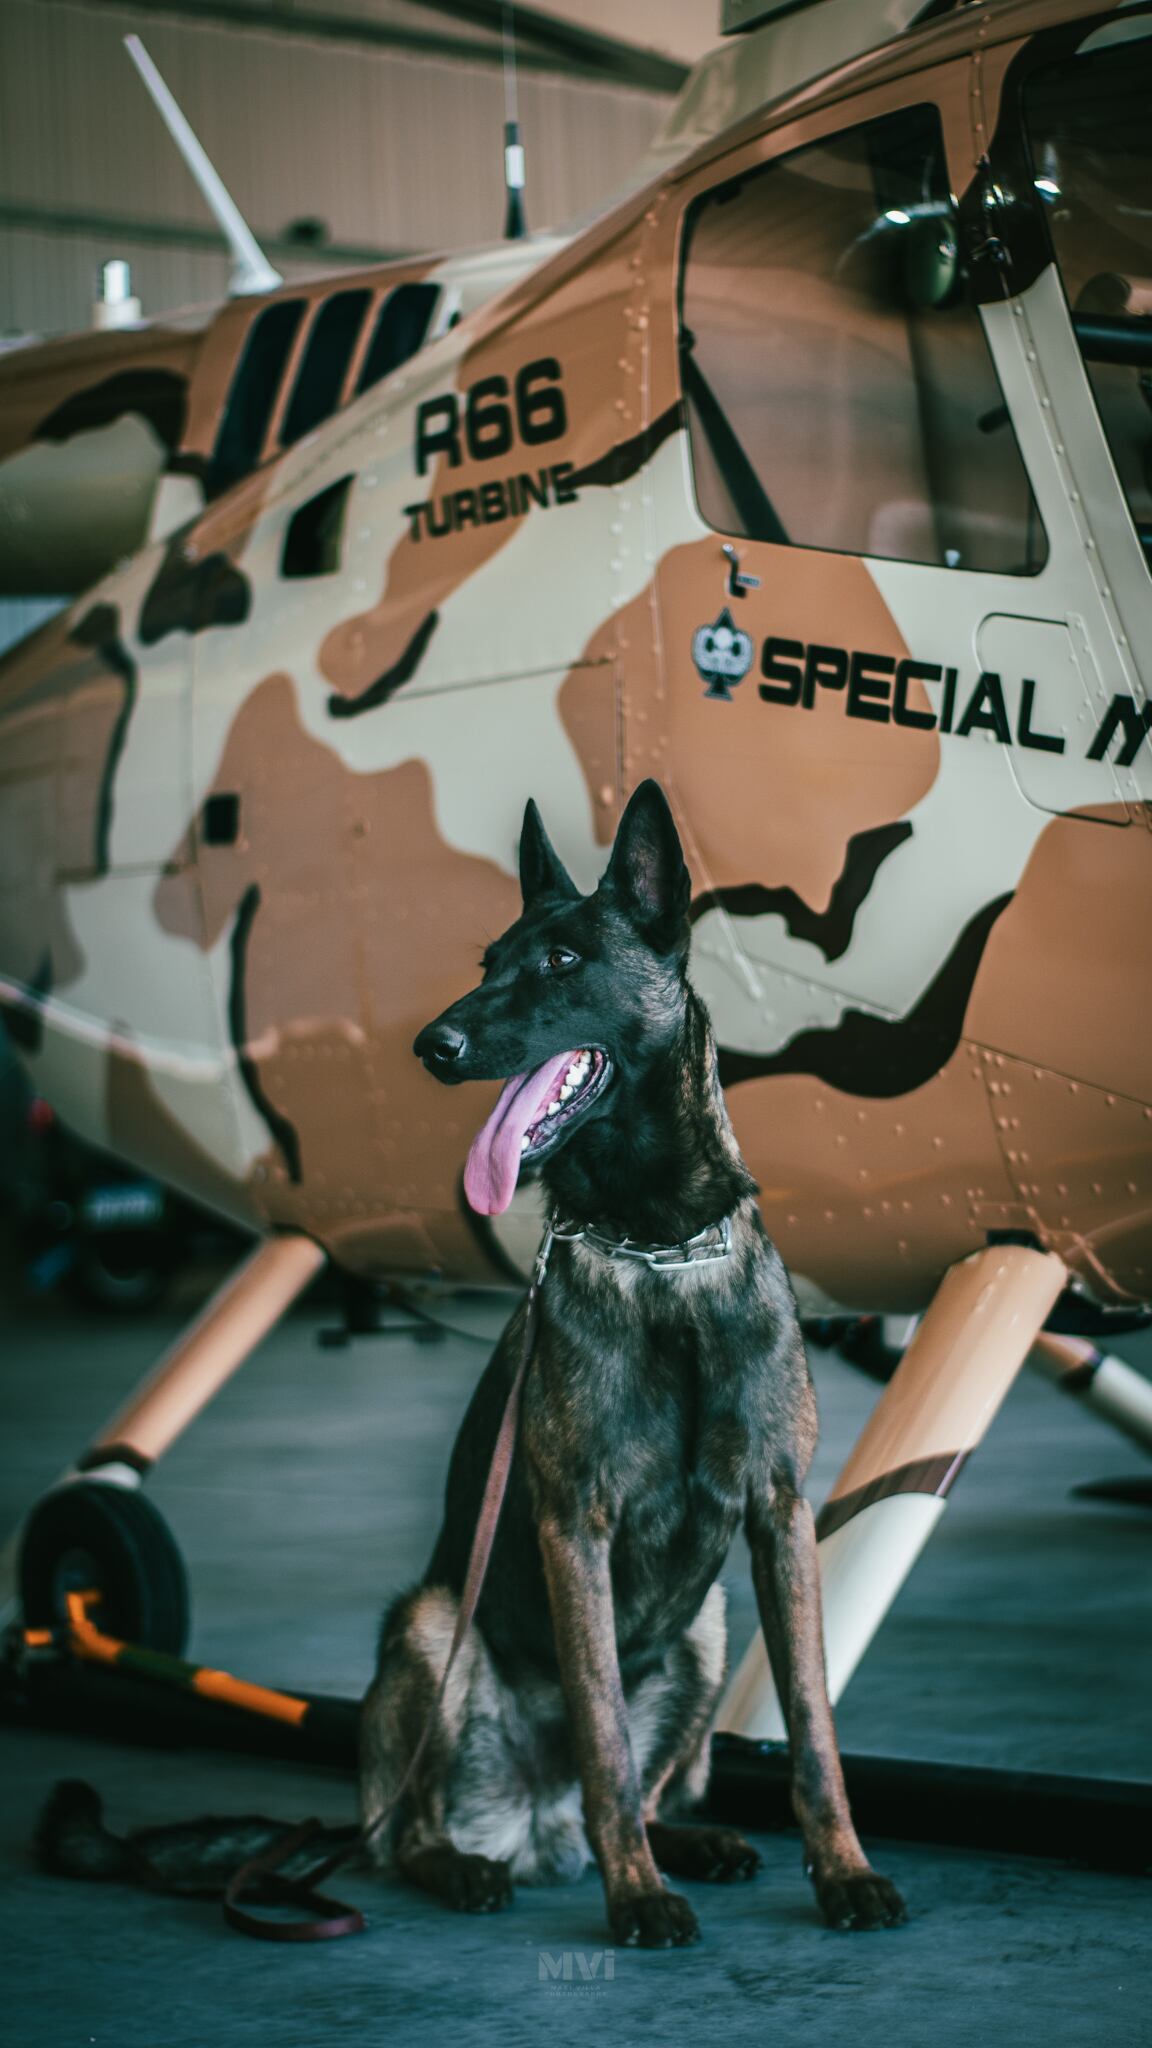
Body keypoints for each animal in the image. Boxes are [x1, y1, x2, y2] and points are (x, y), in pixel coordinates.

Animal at [360, 774, 906, 1941]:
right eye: (489, 961)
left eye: (562, 961)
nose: (433, 1042)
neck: (660, 1246)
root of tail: (538, 1827)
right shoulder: (578, 1526)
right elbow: (604, 1726)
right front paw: (639, 1898)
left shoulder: (781, 1518)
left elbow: (813, 1725)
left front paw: (842, 1869)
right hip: (432, 1623)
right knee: (414, 1825)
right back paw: (474, 1866)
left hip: (704, 1631)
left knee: (662, 1786)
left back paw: (693, 1841)